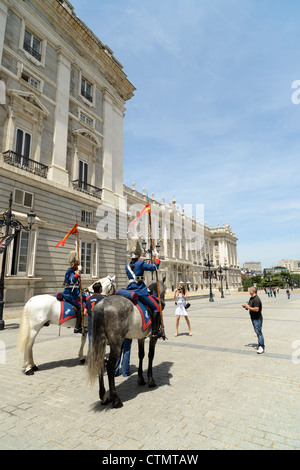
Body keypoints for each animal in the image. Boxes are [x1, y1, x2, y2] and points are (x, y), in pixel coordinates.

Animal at [86, 280, 166, 408]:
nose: (162, 303)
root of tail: (102, 304)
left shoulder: (140, 337)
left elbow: (141, 355)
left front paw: (141, 379)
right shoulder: (153, 338)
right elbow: (150, 355)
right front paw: (150, 380)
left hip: (101, 342)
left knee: (100, 362)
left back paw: (103, 397)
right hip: (116, 344)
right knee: (110, 366)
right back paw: (116, 399)